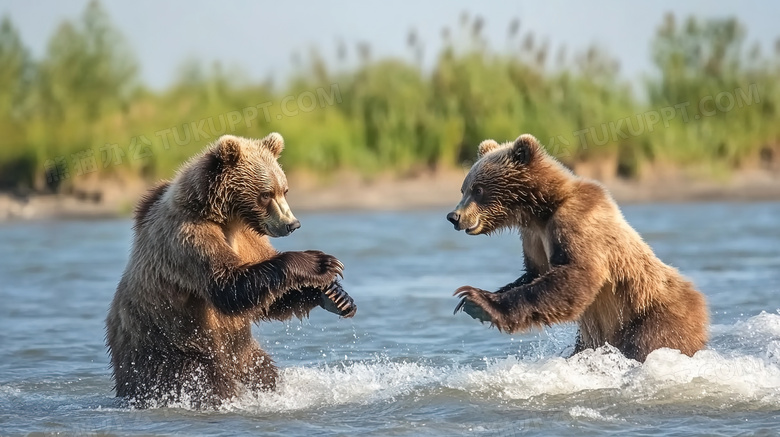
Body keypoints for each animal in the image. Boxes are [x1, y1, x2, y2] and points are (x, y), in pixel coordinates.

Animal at [106, 134, 356, 408]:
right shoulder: (188, 237)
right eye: (266, 194)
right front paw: (321, 262)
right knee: (205, 382)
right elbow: (226, 285)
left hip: (242, 353)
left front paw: (336, 296)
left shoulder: (248, 238)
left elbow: (270, 299)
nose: (292, 224)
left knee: (263, 372)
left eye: (285, 190)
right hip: (172, 349)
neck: (224, 216)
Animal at [444, 133, 708, 362]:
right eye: (463, 189)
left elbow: (577, 273)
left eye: (478, 189)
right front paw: (472, 300)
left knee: (650, 343)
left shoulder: (577, 220)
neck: (541, 209)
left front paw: (478, 301)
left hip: (652, 316)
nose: (454, 216)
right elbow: (535, 273)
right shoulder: (533, 237)